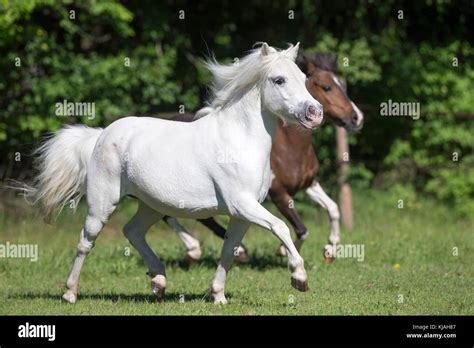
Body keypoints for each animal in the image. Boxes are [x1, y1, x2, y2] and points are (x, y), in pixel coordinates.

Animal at [25, 42, 322, 304]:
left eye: (303, 78)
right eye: (279, 80)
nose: (315, 113)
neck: (239, 140)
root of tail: (101, 135)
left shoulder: (242, 214)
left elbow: (229, 251)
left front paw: (218, 296)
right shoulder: (242, 205)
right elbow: (281, 226)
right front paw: (299, 278)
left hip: (152, 205)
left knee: (132, 231)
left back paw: (158, 281)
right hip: (102, 204)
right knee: (86, 242)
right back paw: (70, 293)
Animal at [163, 51, 362, 262]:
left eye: (341, 85)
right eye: (327, 87)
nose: (357, 118)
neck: (291, 149)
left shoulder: (309, 184)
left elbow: (333, 208)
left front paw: (330, 249)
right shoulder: (279, 194)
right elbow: (302, 229)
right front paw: (283, 251)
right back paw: (204, 249)